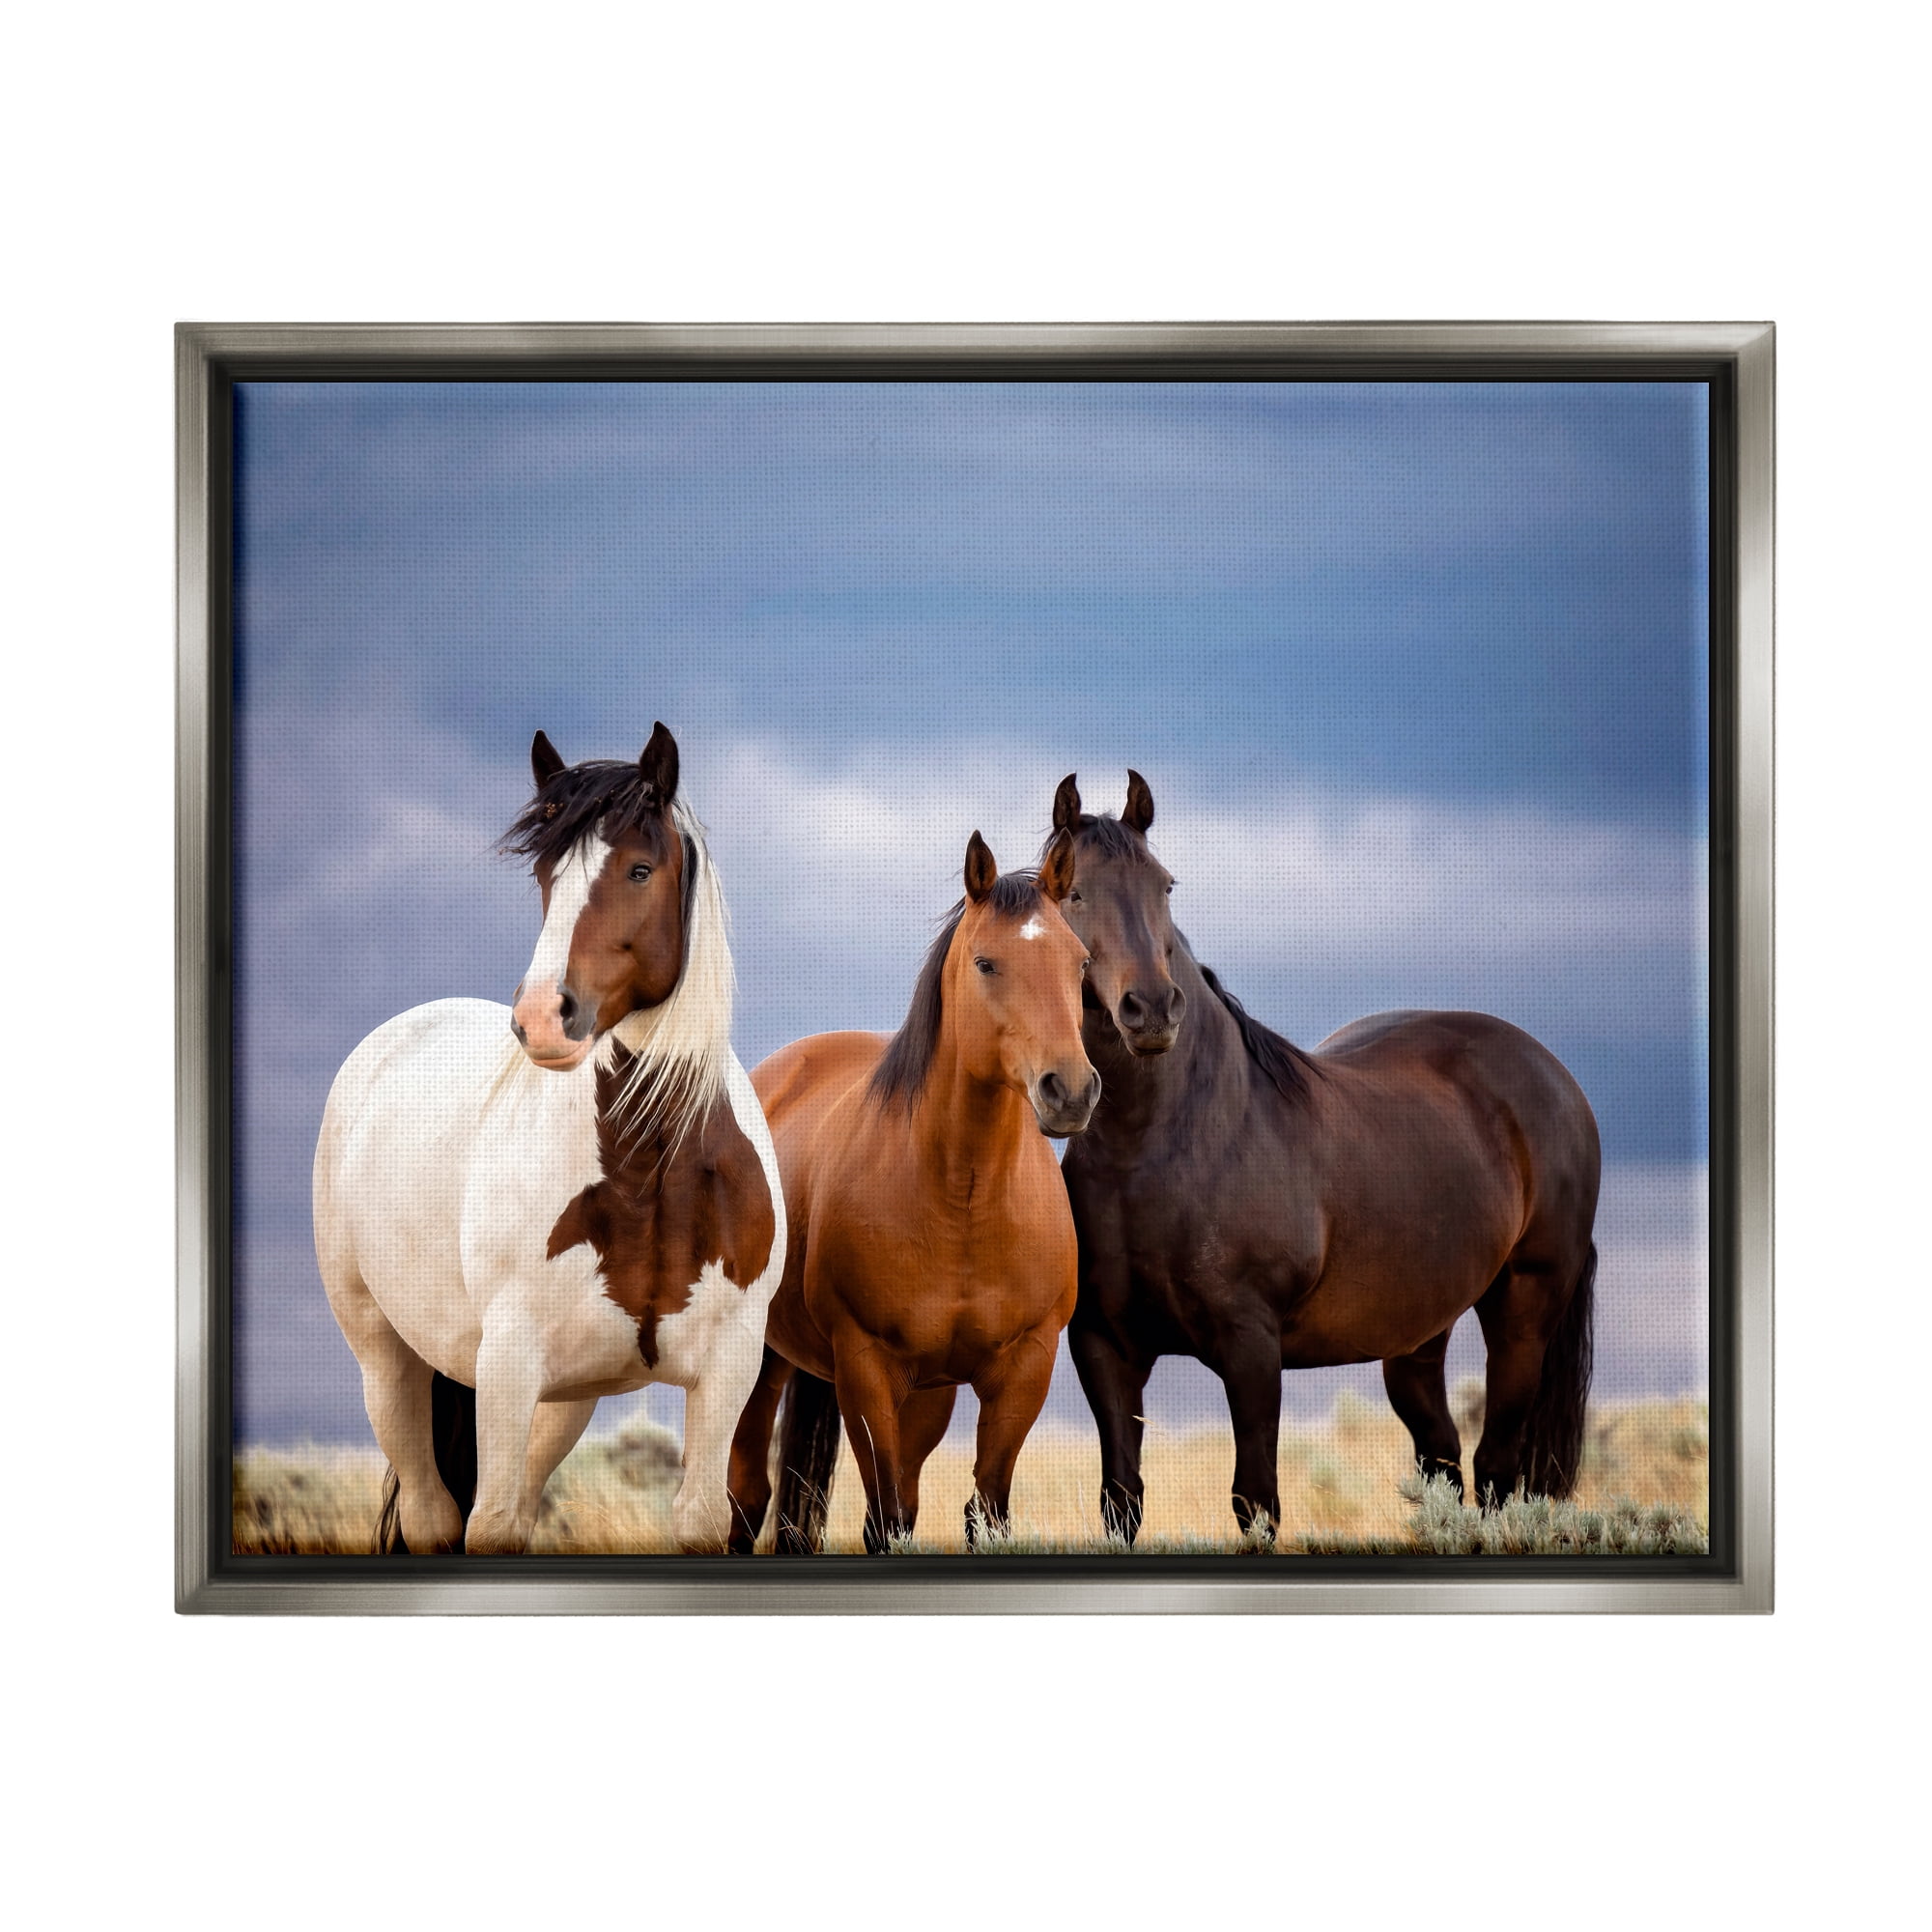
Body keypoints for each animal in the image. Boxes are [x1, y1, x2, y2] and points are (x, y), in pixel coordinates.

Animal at [312, 724, 784, 1554]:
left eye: (639, 868)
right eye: (544, 873)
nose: (539, 1018)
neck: (649, 1170)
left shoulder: (728, 1368)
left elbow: (701, 1518)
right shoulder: (507, 1364)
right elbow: (491, 1524)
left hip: (563, 1401)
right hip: (389, 1362)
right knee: (434, 1516)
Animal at [725, 828, 1100, 1554]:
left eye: (1080, 962)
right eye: (986, 963)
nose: (1069, 1090)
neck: (964, 1201)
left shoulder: (1024, 1368)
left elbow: (984, 1510)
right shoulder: (866, 1368)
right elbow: (884, 1517)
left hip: (925, 1392)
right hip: (759, 1359)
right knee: (747, 1496)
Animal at [1048, 772, 1600, 1542]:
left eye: (1165, 885)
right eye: (1071, 892)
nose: (1152, 1010)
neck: (1160, 1148)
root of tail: (1553, 1077)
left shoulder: (1251, 1348)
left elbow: (1256, 1501)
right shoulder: (1105, 1347)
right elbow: (1121, 1500)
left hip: (1524, 1308)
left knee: (1495, 1470)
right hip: (1417, 1334)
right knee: (1442, 1460)